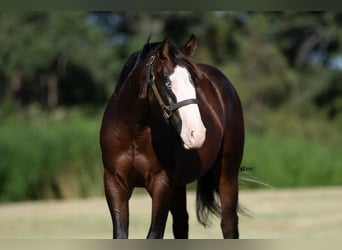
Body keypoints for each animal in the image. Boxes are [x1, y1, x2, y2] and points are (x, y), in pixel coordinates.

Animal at [100, 34, 244, 239]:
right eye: (168, 82)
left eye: (196, 82)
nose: (197, 134)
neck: (135, 132)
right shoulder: (114, 183)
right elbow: (120, 233)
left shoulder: (161, 184)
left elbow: (154, 234)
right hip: (178, 187)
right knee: (182, 223)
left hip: (227, 175)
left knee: (229, 223)